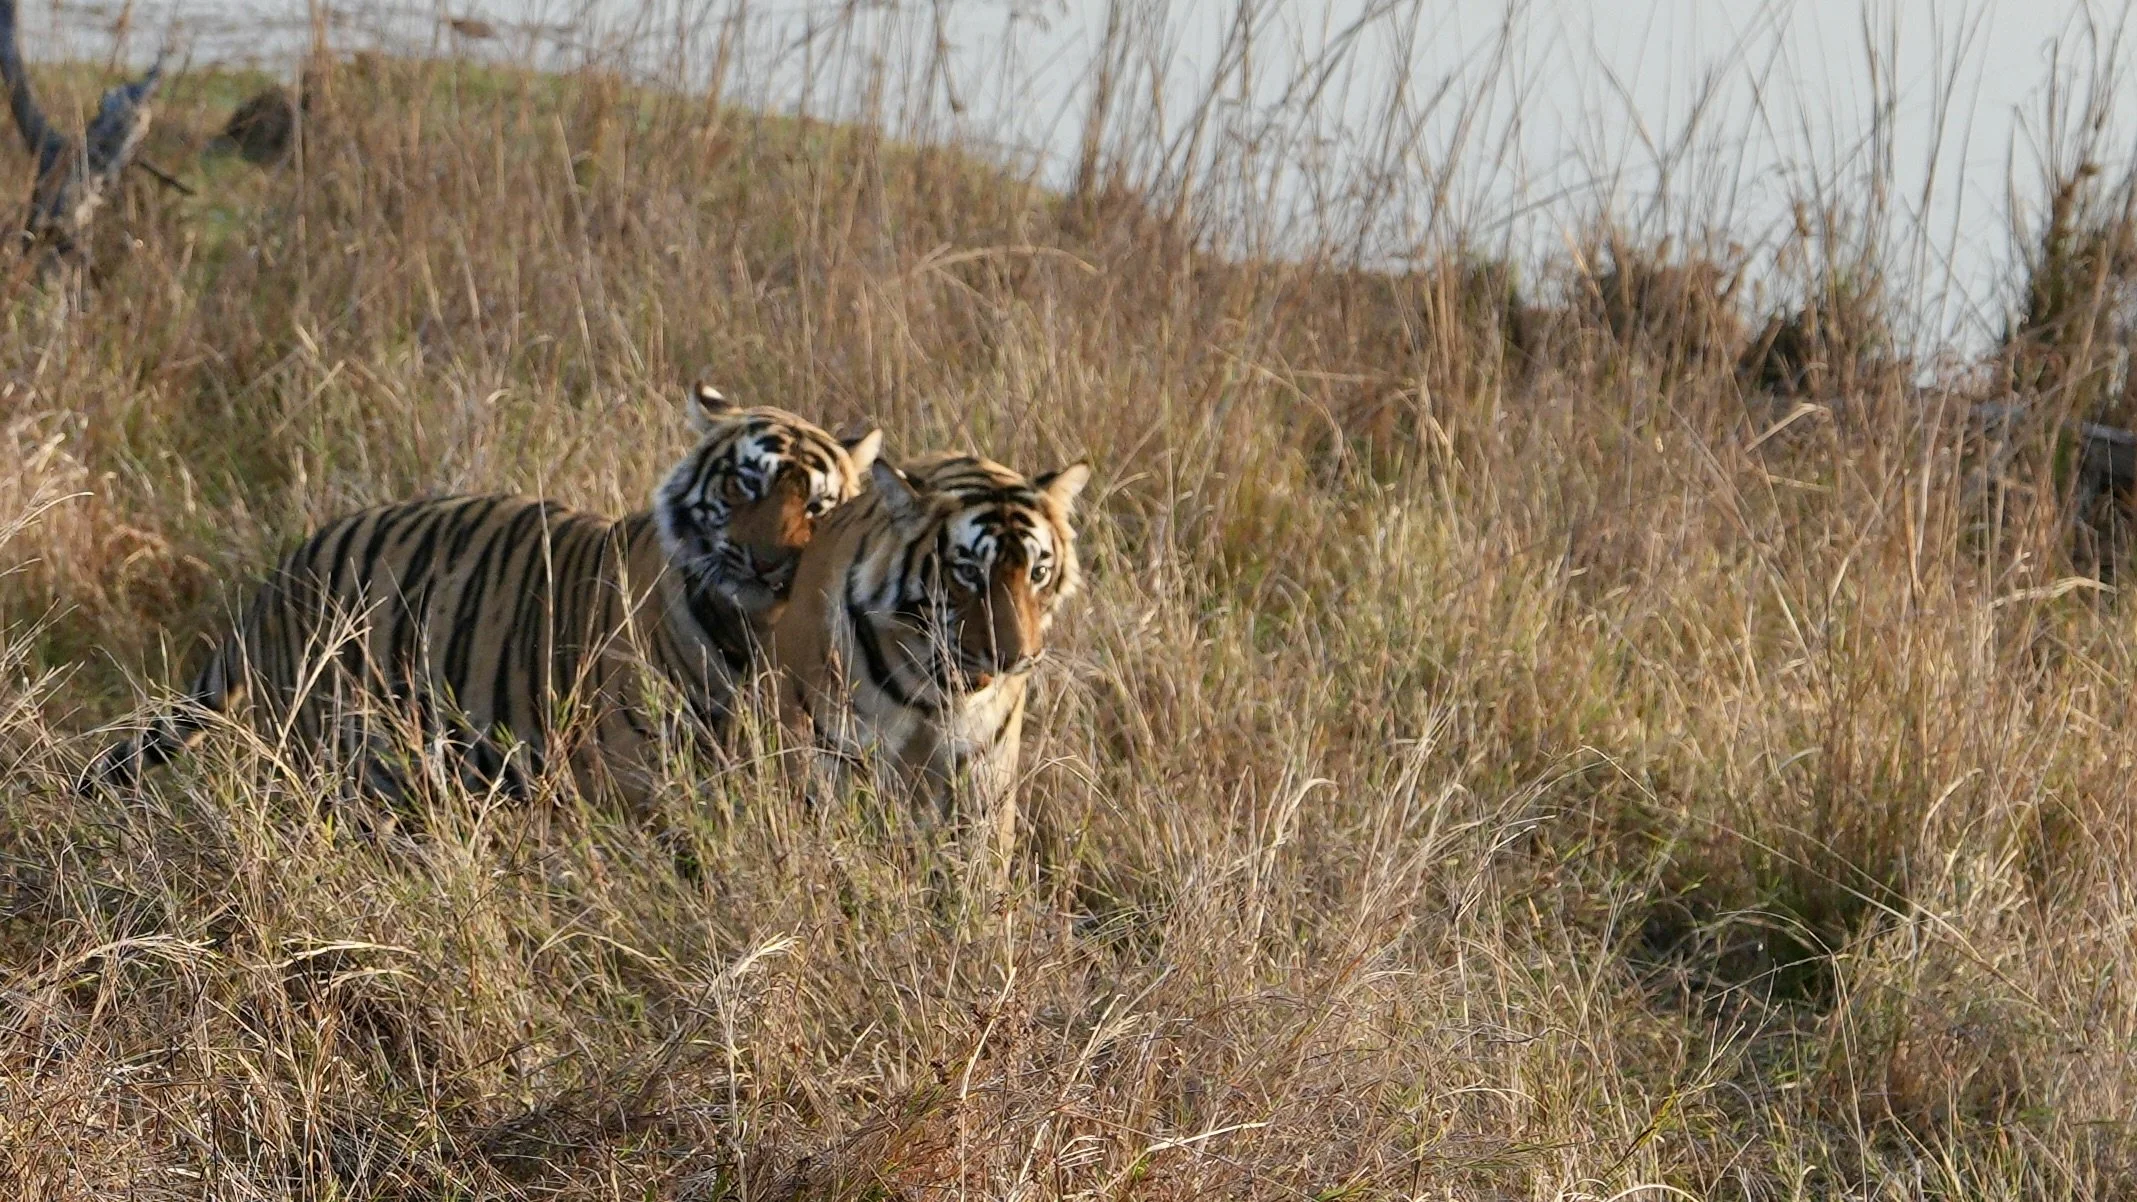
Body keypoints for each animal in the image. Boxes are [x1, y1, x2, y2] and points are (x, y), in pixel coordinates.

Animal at [81, 382, 883, 805]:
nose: (768, 563)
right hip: (343, 753)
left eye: (816, 506)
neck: (749, 632)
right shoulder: (635, 775)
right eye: (743, 485)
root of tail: (281, 575)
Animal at [768, 451, 1090, 878]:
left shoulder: (983, 777)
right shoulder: (830, 758)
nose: (1014, 658)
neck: (936, 691)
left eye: (1038, 573)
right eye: (969, 572)